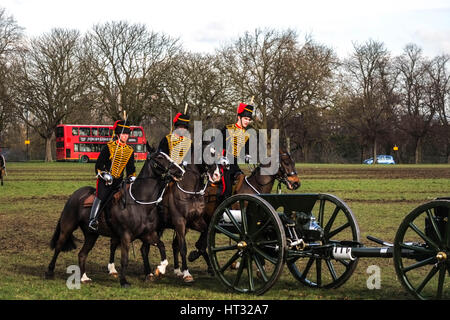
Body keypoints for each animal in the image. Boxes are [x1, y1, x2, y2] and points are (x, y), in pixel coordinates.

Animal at [44, 149, 185, 288]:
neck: (139, 202)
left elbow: (161, 246)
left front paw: (160, 269)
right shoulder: (125, 236)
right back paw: (49, 272)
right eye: (160, 157)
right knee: (58, 247)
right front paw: (124, 281)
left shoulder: (148, 234)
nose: (181, 171)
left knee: (82, 254)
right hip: (67, 228)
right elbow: (124, 260)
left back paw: (84, 278)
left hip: (91, 235)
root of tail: (75, 195)